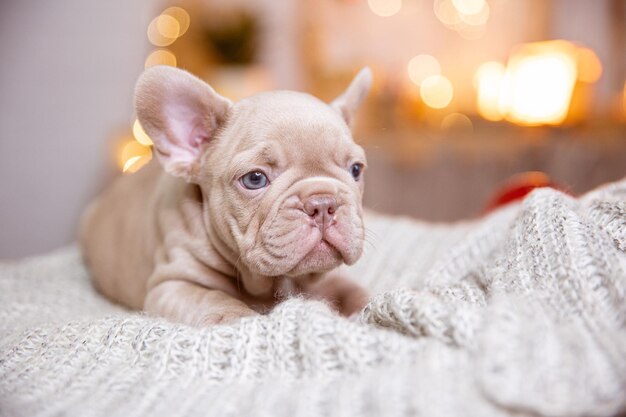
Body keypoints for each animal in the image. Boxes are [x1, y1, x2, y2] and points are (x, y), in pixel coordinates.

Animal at [79, 66, 370, 324]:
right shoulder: (172, 284)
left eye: (356, 170)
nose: (322, 204)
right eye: (255, 179)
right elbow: (213, 298)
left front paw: (367, 307)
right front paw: (238, 320)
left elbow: (352, 289)